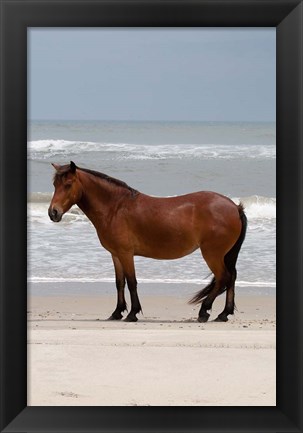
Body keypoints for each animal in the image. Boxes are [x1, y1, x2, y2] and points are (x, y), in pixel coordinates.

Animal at [48, 160, 248, 322]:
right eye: (54, 184)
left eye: (68, 184)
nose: (53, 213)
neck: (115, 208)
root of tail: (234, 207)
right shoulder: (115, 254)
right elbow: (119, 283)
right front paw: (117, 312)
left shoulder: (126, 254)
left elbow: (131, 282)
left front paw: (132, 313)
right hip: (226, 254)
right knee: (231, 277)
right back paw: (223, 314)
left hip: (212, 254)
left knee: (223, 278)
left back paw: (204, 312)